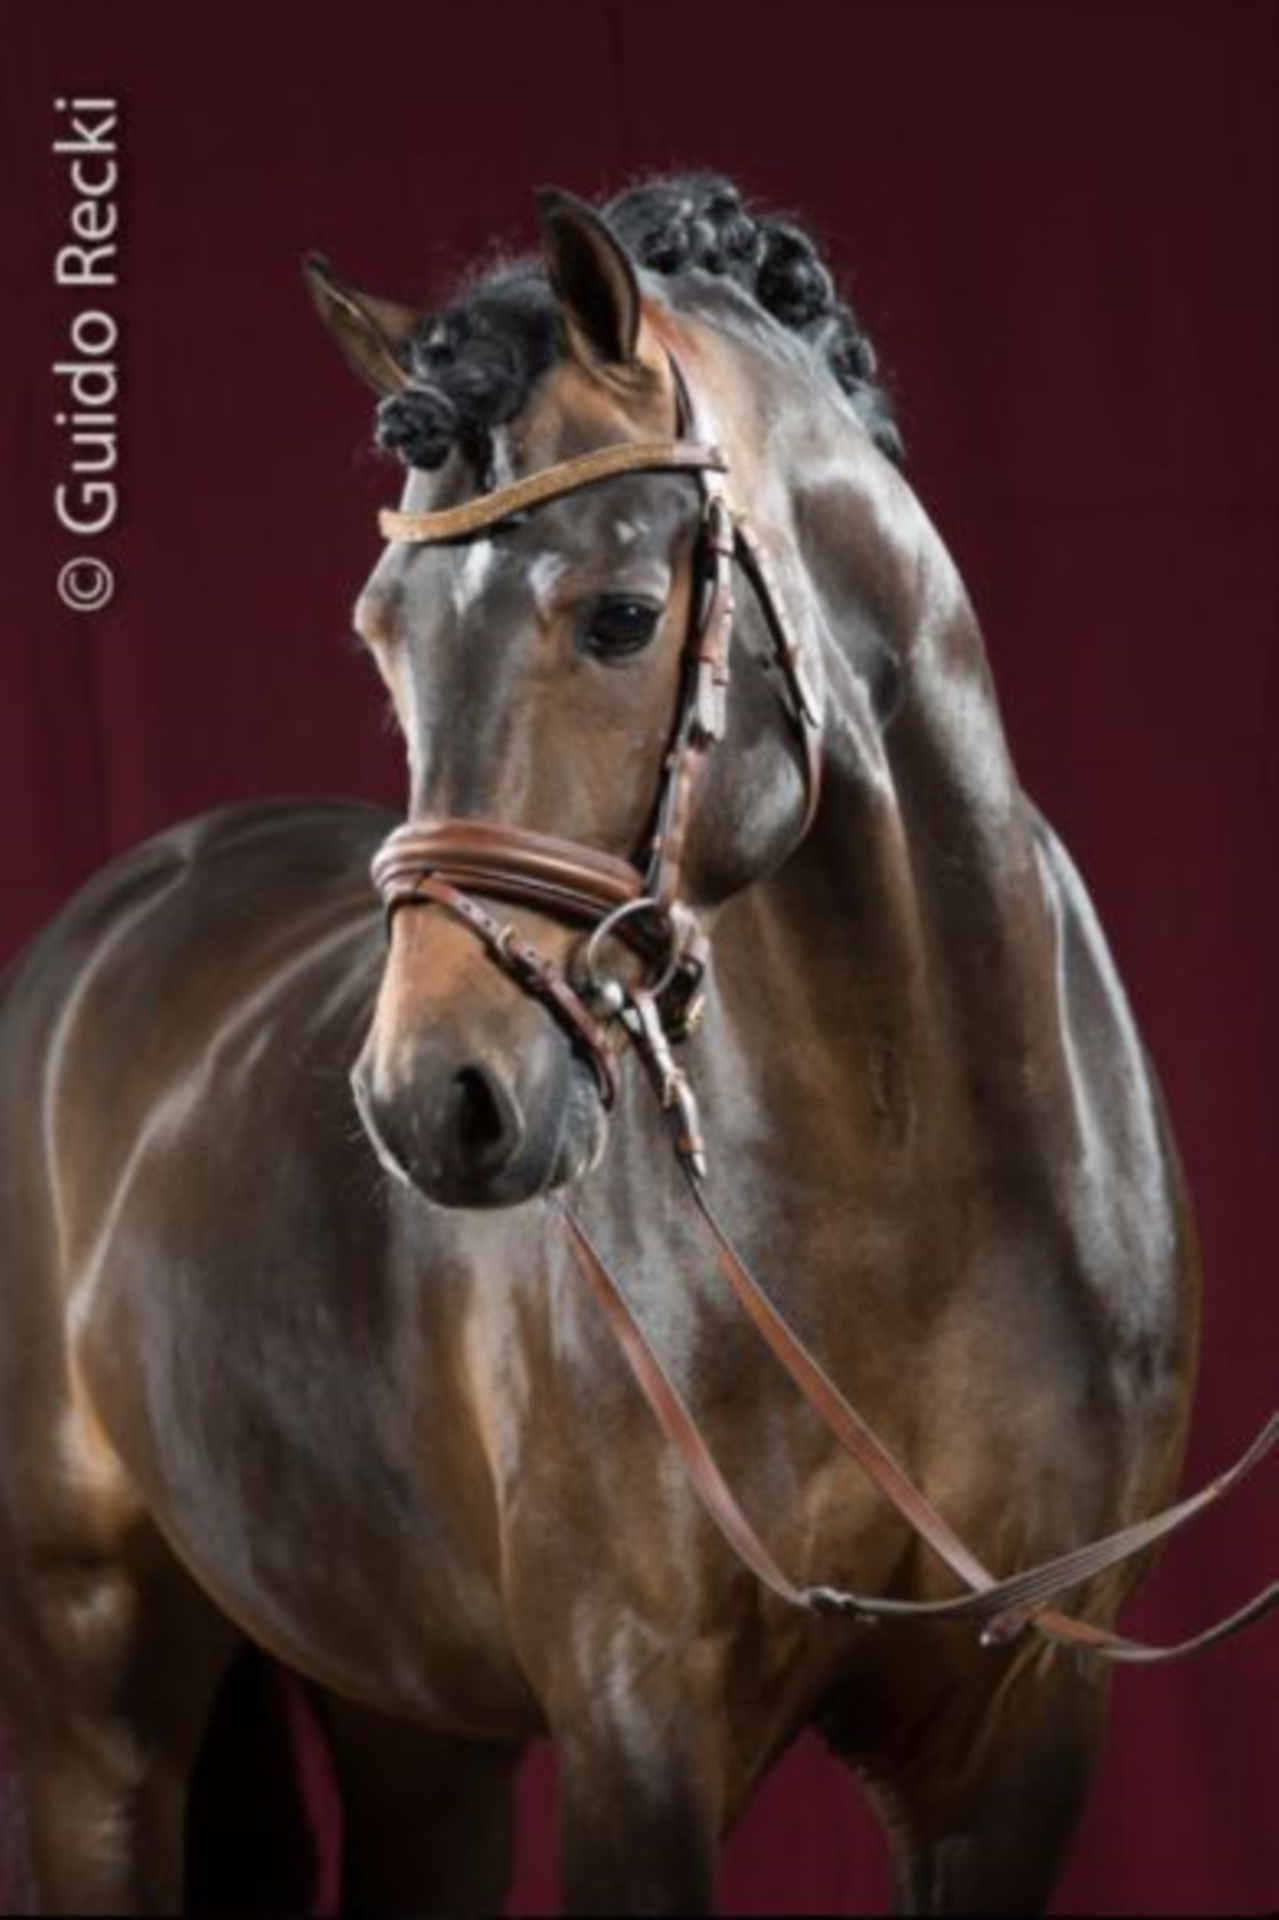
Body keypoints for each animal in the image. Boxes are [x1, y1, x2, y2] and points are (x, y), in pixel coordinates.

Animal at [0, 176, 1252, 1904]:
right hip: (92, 1661)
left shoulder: (1015, 1747)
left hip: (411, 1717)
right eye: (381, 632)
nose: (434, 1102)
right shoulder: (635, 1729)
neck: (909, 1174)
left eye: (619, 617)